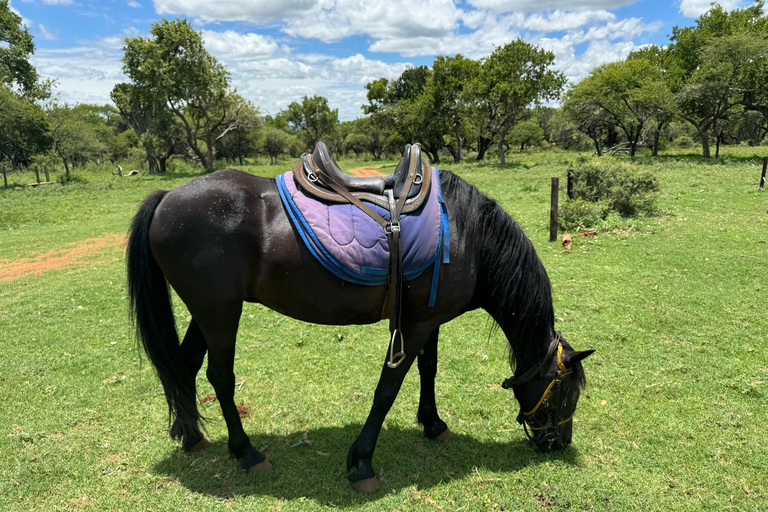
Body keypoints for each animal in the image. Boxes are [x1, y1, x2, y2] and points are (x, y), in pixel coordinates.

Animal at [126, 164, 596, 492]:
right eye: (565, 393)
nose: (559, 443)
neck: (467, 236)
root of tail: (168, 197)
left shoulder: (430, 320)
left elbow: (429, 370)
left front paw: (433, 424)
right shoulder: (415, 327)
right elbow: (387, 390)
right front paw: (363, 462)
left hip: (207, 311)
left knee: (184, 366)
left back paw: (190, 435)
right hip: (220, 311)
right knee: (219, 377)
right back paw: (247, 453)